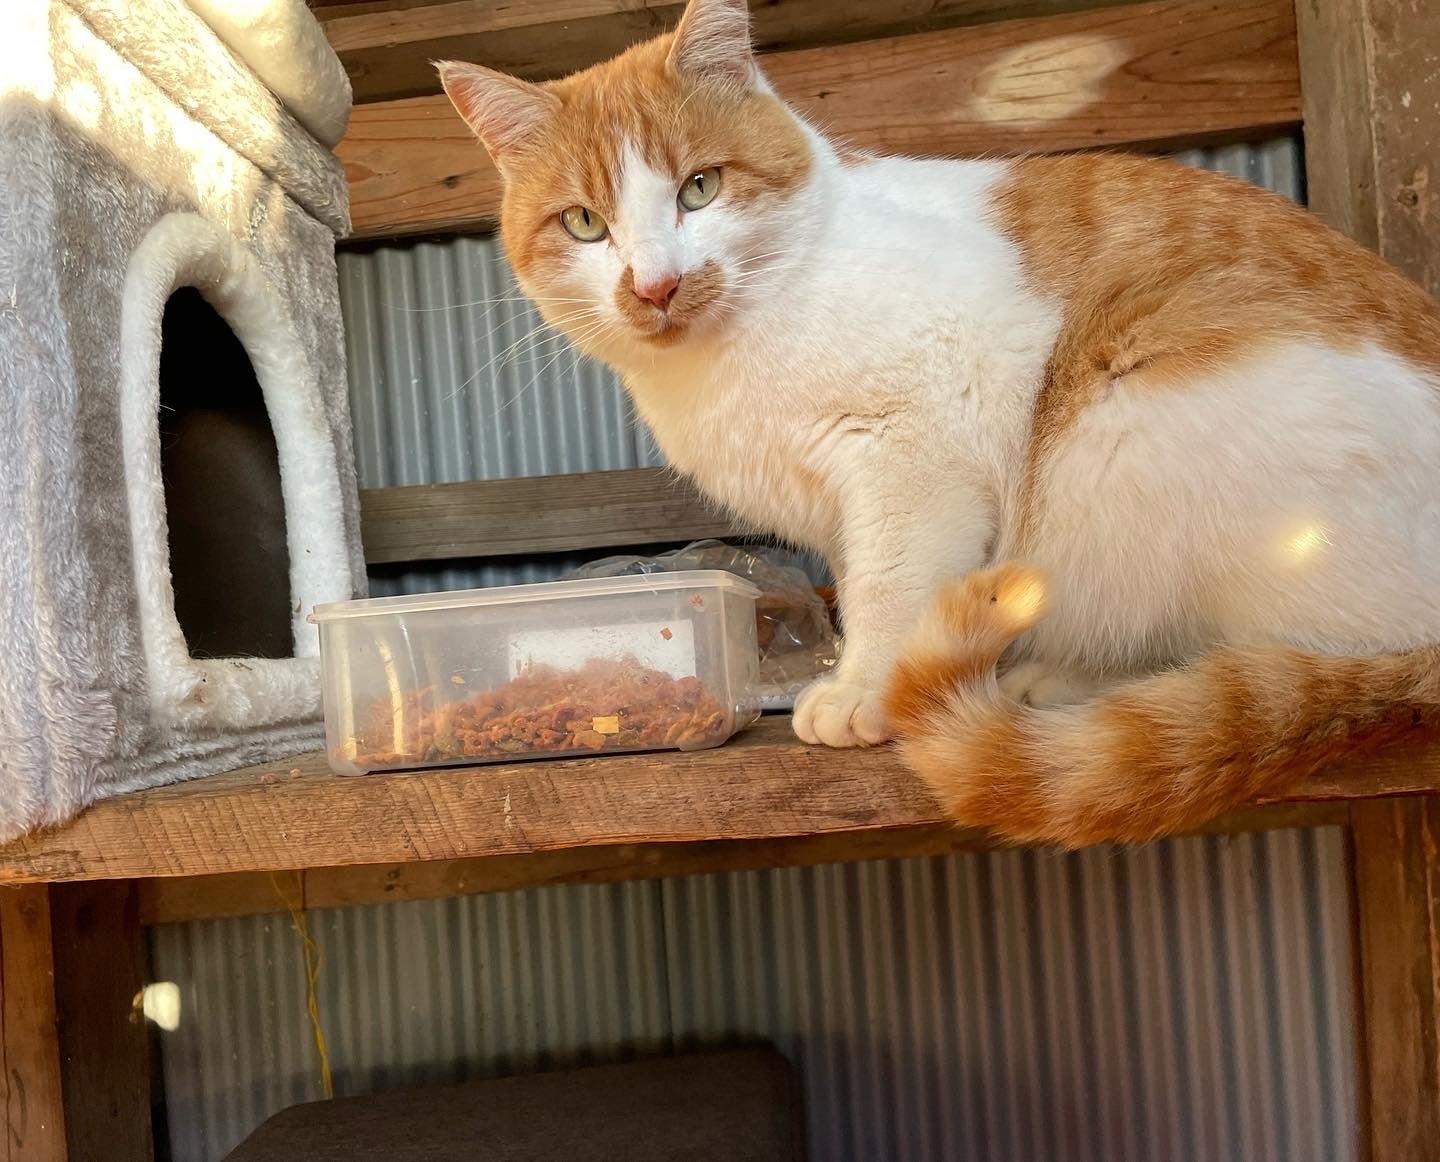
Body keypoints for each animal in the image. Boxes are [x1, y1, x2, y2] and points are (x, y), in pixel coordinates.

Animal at [437, 0, 1440, 846]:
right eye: (584, 222)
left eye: (699, 189)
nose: (656, 285)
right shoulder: (844, 510)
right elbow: (857, 576)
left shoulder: (910, 457)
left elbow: (891, 586)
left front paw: (865, 690)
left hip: (1131, 425)